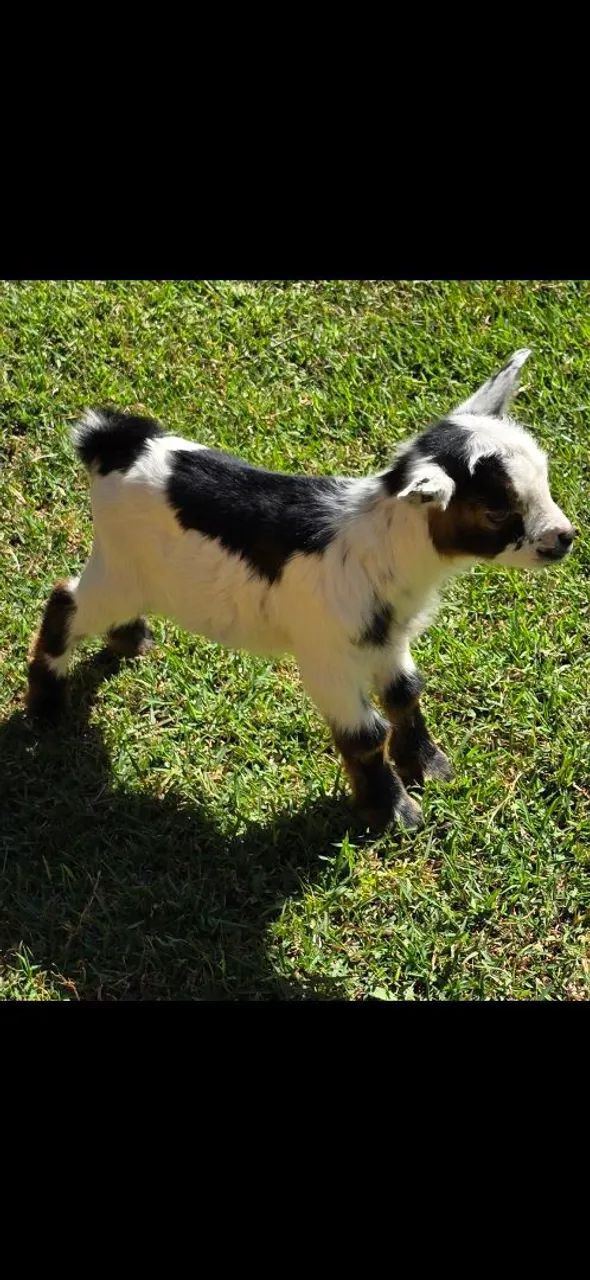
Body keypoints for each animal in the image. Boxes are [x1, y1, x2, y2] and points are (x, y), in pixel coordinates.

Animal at [27, 349, 576, 831]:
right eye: (497, 510)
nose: (564, 538)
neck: (381, 543)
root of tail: (112, 440)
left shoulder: (387, 637)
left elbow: (404, 693)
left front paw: (430, 767)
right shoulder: (327, 655)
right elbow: (365, 733)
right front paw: (394, 814)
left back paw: (132, 641)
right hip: (118, 570)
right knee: (65, 601)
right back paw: (47, 706)